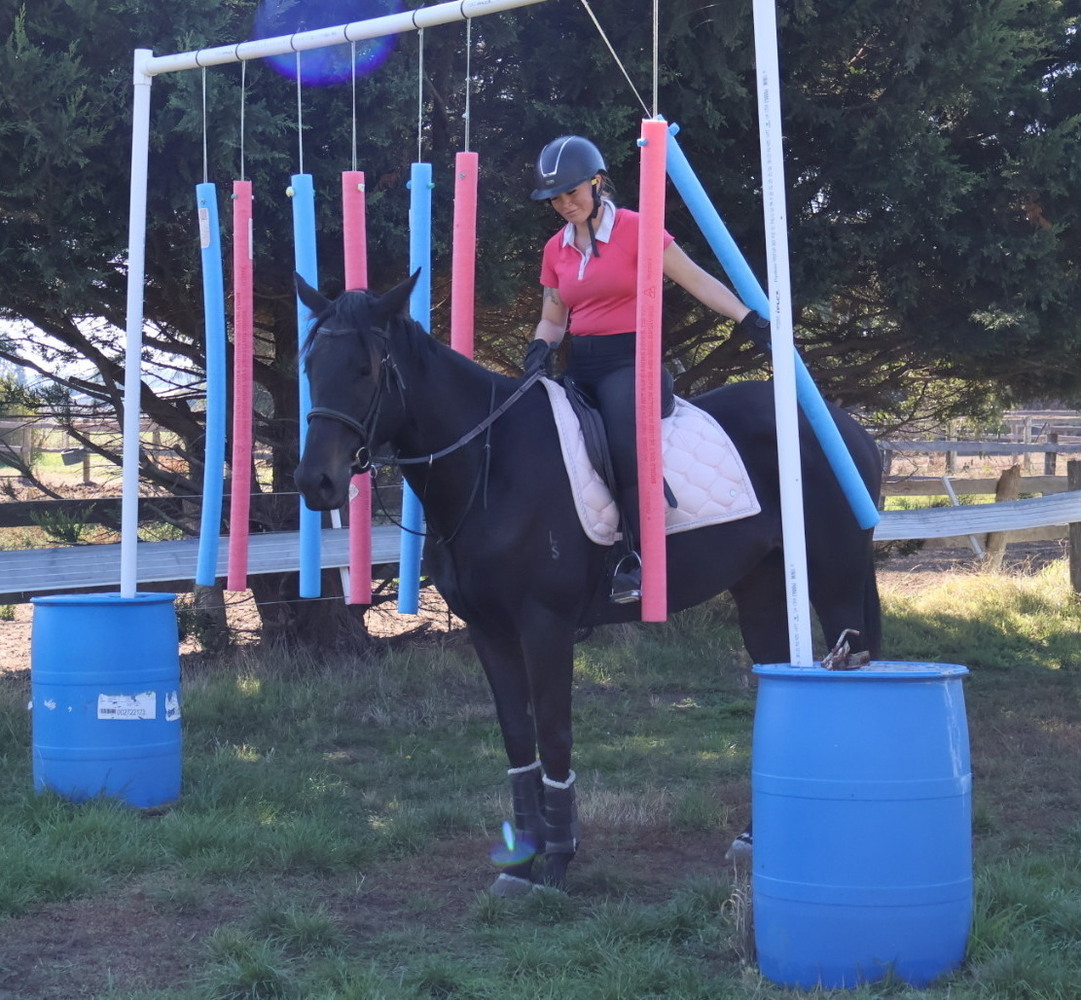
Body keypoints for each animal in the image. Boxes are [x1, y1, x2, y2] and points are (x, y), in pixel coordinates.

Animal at [293, 272, 882, 895]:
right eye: (312, 367)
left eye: (366, 368)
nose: (315, 481)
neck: (491, 465)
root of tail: (847, 426)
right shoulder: (488, 630)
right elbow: (517, 736)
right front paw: (522, 862)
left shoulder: (544, 626)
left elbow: (554, 732)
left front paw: (556, 860)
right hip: (762, 587)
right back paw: (752, 839)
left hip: (835, 578)